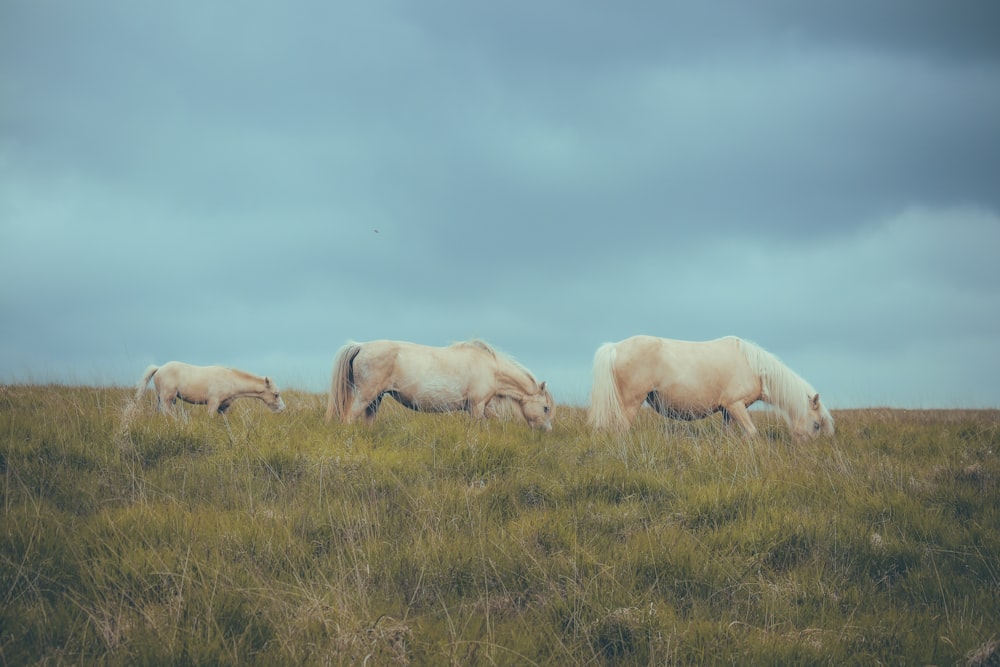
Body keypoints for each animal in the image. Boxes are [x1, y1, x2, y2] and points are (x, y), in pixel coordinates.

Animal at [135, 362, 288, 414]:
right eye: (276, 394)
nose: (282, 409)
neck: (230, 380)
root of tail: (159, 368)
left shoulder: (224, 407)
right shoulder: (213, 403)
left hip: (160, 398)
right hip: (167, 399)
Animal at [326, 342, 556, 430]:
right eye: (545, 408)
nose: (546, 431)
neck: (490, 368)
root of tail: (361, 346)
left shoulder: (481, 407)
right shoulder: (477, 407)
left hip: (375, 400)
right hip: (364, 397)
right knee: (347, 419)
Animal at [584, 336, 836, 440]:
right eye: (816, 424)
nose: (807, 452)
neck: (753, 366)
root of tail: (615, 347)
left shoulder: (727, 411)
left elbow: (729, 434)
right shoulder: (735, 405)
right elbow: (752, 433)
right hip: (630, 404)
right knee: (621, 430)